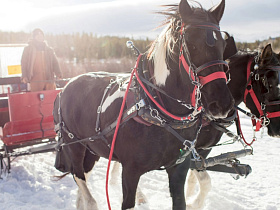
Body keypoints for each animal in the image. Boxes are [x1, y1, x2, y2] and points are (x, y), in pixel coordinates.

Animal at [52, 0, 234, 209]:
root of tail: (65, 87)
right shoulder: (130, 171)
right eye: (191, 43)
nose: (222, 104)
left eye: (223, 44)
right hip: (74, 145)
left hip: (93, 148)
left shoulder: (179, 168)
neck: (160, 111)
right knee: (81, 181)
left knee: (84, 177)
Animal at [185, 43, 280, 209]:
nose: (279, 127)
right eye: (268, 84)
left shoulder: (204, 149)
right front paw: (193, 203)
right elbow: (204, 180)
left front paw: (189, 198)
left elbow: (191, 177)